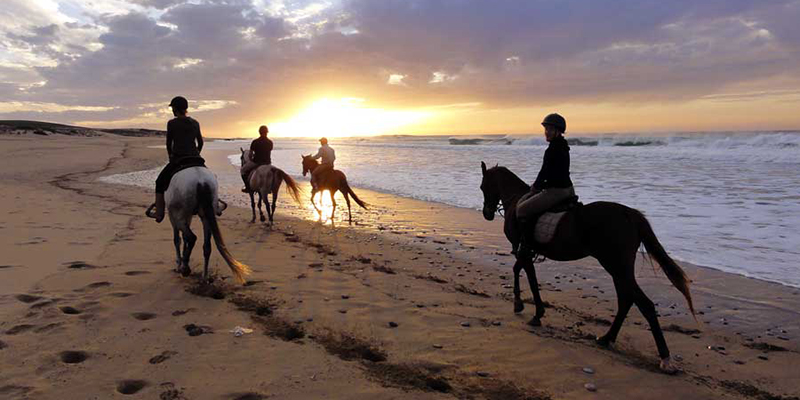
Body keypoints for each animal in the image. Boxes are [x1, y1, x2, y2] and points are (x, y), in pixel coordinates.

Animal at [478, 161, 696, 374]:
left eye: (482, 186)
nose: (487, 214)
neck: (516, 200)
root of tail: (629, 214)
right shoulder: (525, 252)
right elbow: (519, 271)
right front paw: (523, 305)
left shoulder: (523, 250)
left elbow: (527, 277)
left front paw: (530, 310)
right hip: (619, 268)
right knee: (626, 300)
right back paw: (607, 338)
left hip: (615, 265)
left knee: (644, 304)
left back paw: (665, 359)